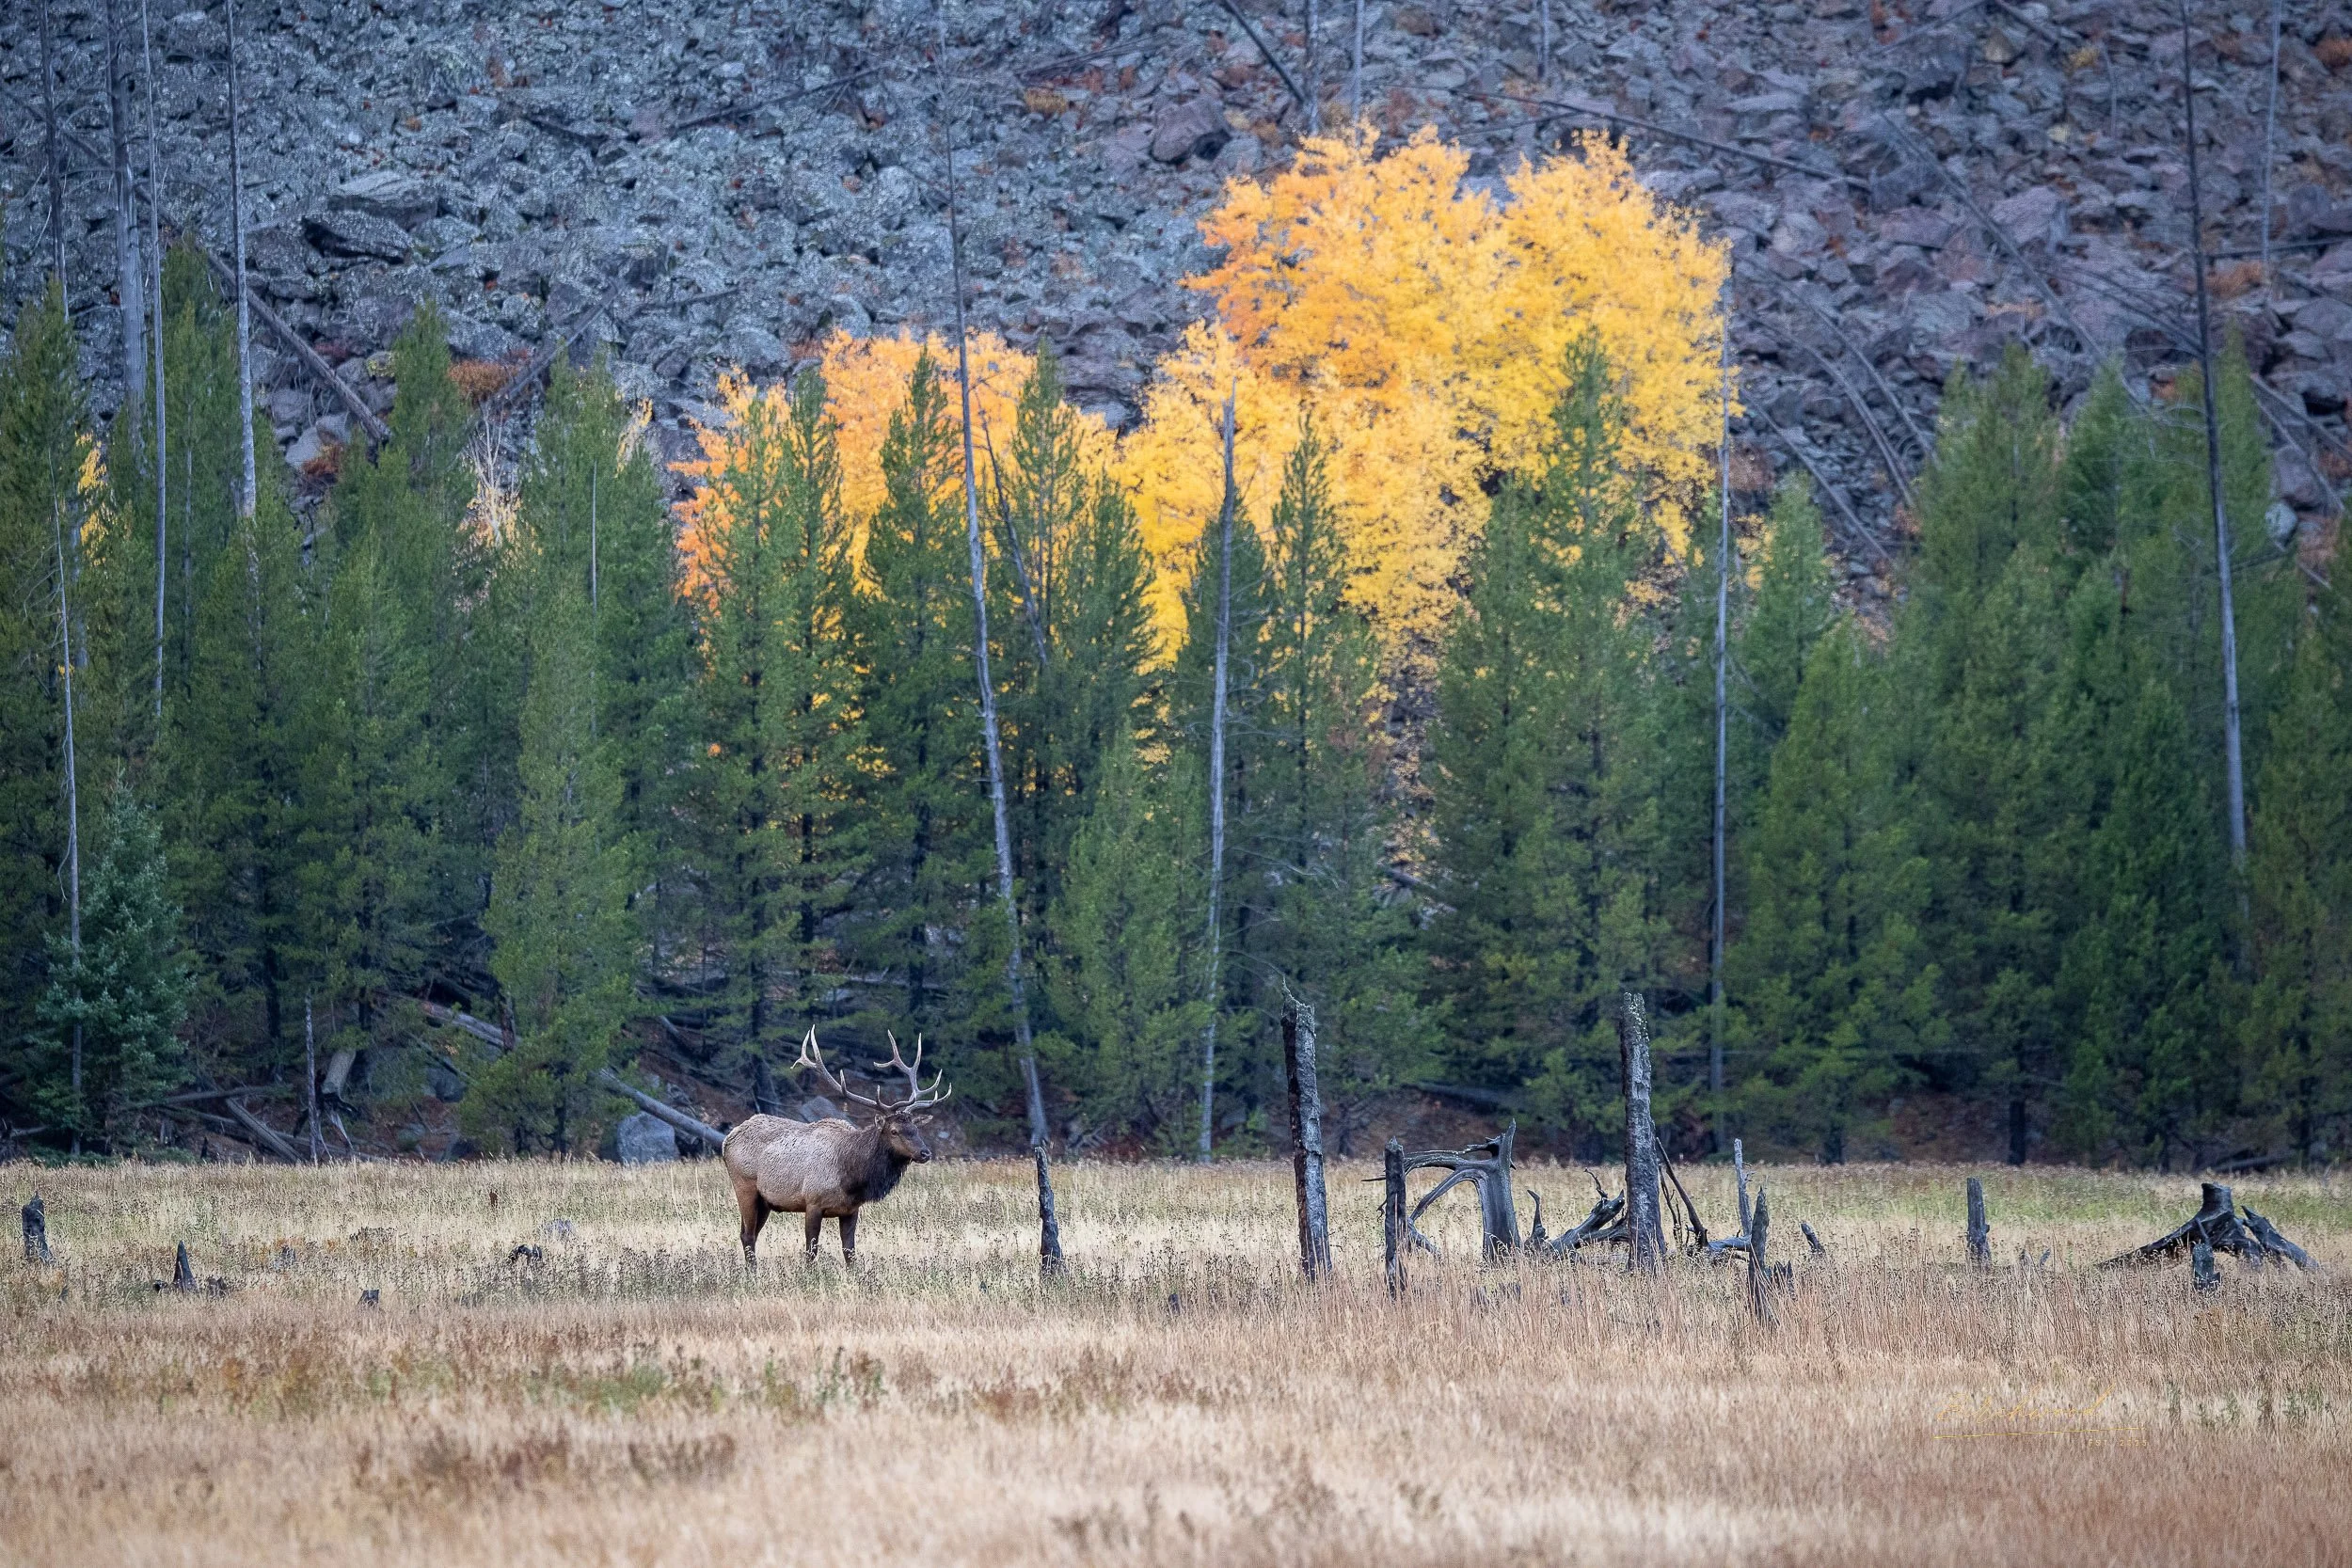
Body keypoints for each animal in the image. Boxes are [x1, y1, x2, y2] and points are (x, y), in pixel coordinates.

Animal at [721, 1028, 949, 1267]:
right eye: (894, 1131)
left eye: (916, 1128)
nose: (925, 1153)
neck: (851, 1178)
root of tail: (726, 1141)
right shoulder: (812, 1202)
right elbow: (811, 1251)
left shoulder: (851, 1210)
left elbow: (849, 1252)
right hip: (745, 1186)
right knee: (747, 1234)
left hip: (766, 1201)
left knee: (750, 1233)